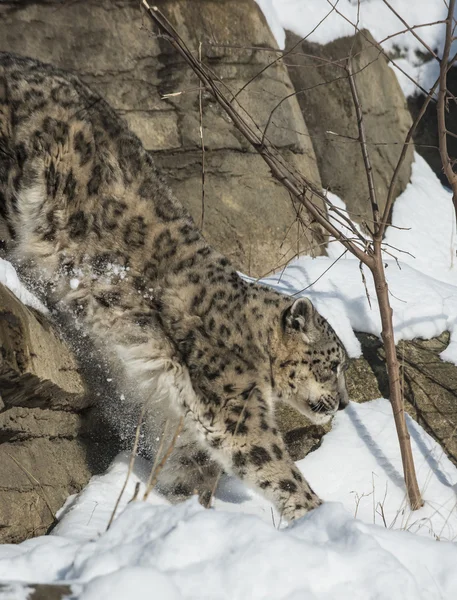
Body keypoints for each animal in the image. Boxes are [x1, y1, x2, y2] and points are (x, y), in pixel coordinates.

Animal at [0, 51, 348, 520]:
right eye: (333, 364)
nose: (344, 403)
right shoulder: (235, 401)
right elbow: (270, 462)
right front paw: (320, 513)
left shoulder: (181, 419)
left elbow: (189, 465)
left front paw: (190, 512)